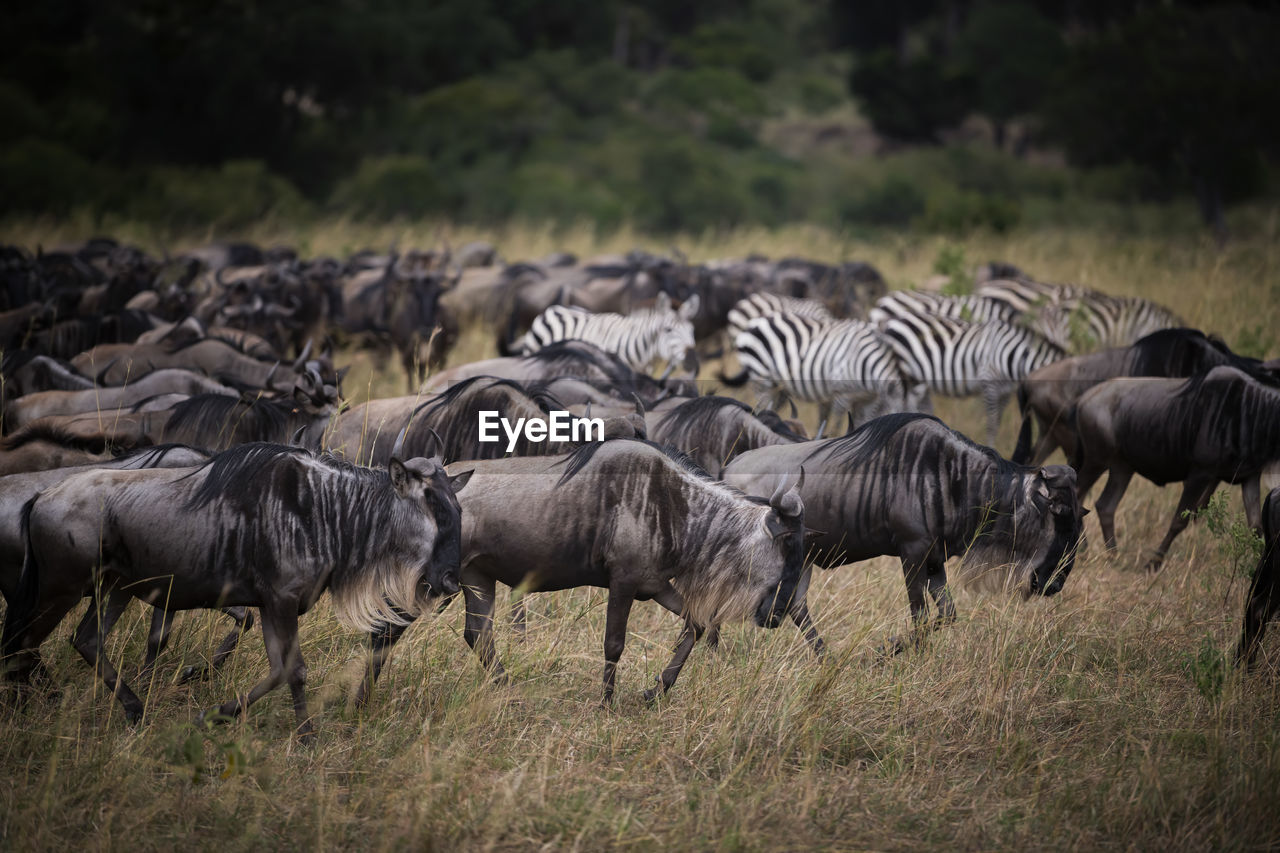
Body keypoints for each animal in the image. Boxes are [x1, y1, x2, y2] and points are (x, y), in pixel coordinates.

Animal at [721, 311, 921, 438]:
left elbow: (863, 422)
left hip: (779, 386)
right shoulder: (842, 395)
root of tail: (755, 322)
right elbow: (839, 424)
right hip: (762, 377)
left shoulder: (868, 400)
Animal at [880, 311, 1070, 445]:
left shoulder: (1006, 392)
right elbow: (992, 424)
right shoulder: (989, 382)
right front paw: (992, 448)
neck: (1013, 356)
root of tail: (892, 321)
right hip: (907, 373)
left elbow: (998, 422)